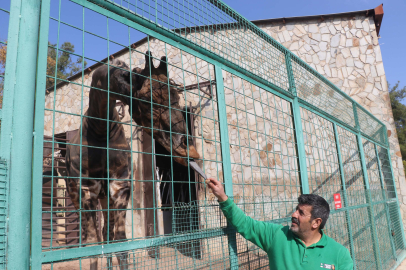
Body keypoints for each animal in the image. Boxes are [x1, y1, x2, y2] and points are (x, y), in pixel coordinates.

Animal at [65, 51, 200, 268]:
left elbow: (120, 242)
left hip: (105, 198)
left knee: (107, 234)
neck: (100, 129)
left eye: (177, 96)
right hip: (78, 197)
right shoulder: (86, 189)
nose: (190, 151)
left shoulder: (120, 187)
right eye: (146, 100)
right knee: (94, 237)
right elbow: (93, 244)